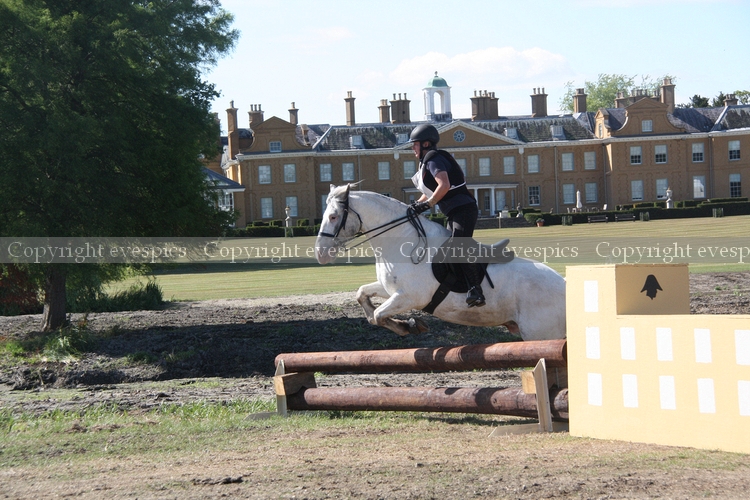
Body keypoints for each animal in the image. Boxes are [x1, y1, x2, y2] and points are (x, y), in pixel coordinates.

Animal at [315, 184, 566, 341]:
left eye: (333, 217)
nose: (320, 254)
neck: (402, 239)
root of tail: (563, 283)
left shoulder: (410, 297)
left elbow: (378, 315)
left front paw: (408, 326)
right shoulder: (392, 290)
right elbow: (364, 298)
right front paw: (407, 325)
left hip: (541, 334)